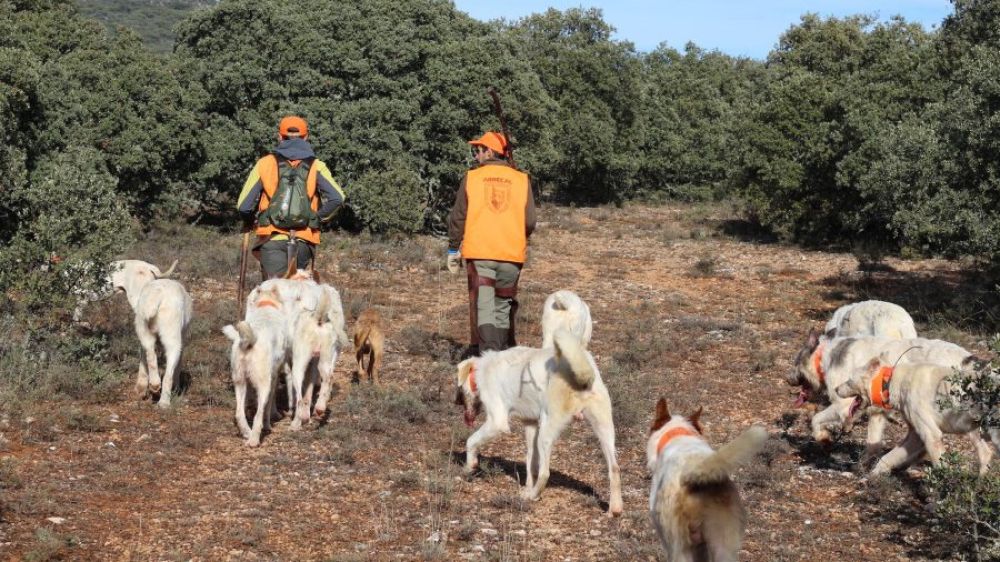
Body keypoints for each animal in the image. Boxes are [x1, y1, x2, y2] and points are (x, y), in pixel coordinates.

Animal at [112, 256, 192, 404]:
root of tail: (157, 296)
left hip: (143, 328)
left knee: (150, 353)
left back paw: (153, 385)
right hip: (172, 336)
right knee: (169, 372)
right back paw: (164, 402)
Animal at [456, 330, 624, 516]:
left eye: (459, 390)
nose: (456, 403)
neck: (484, 368)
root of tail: (580, 375)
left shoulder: (497, 422)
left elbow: (471, 441)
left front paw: (469, 466)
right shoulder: (530, 424)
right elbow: (531, 460)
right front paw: (528, 484)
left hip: (546, 432)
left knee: (545, 473)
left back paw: (533, 496)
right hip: (604, 430)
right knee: (614, 469)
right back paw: (614, 510)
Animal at [832, 356, 996, 470]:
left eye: (849, 380)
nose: (835, 389)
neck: (891, 382)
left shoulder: (931, 435)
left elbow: (941, 468)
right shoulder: (916, 436)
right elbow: (888, 457)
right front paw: (873, 476)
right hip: (974, 431)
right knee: (986, 454)